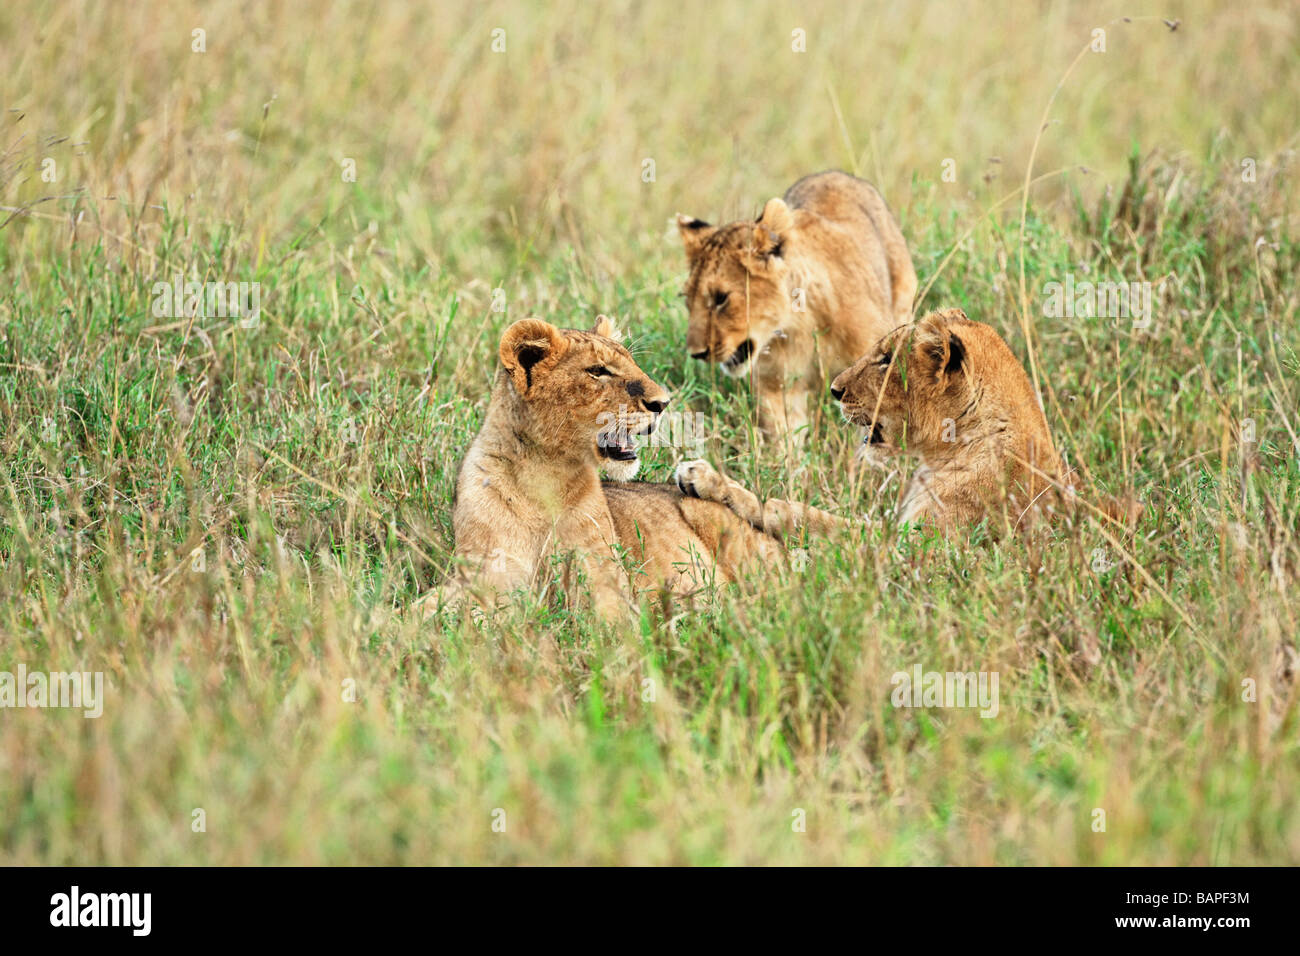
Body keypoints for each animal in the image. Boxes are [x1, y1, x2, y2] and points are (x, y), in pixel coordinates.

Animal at [428, 315, 783, 622]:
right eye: (597, 371)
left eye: (632, 362)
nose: (662, 403)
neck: (543, 476)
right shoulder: (487, 574)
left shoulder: (607, 586)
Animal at [676, 170, 916, 441]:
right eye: (686, 298)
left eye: (720, 298)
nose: (696, 353)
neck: (800, 321)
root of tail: (833, 173)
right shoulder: (776, 386)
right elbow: (786, 438)